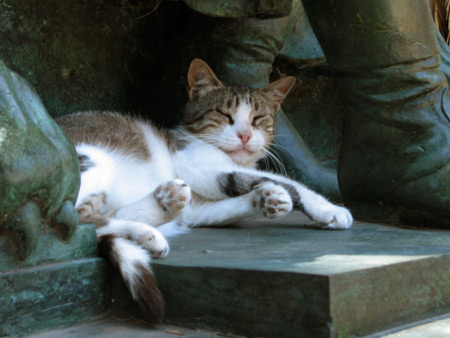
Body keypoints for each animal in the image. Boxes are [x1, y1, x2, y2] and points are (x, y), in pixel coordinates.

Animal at [55, 58, 352, 322]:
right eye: (225, 115)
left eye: (258, 119)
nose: (245, 135)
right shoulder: (198, 167)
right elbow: (285, 181)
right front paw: (327, 207)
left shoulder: (200, 210)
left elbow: (233, 203)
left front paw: (266, 198)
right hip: (91, 165)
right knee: (81, 223)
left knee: (106, 218)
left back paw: (159, 214)